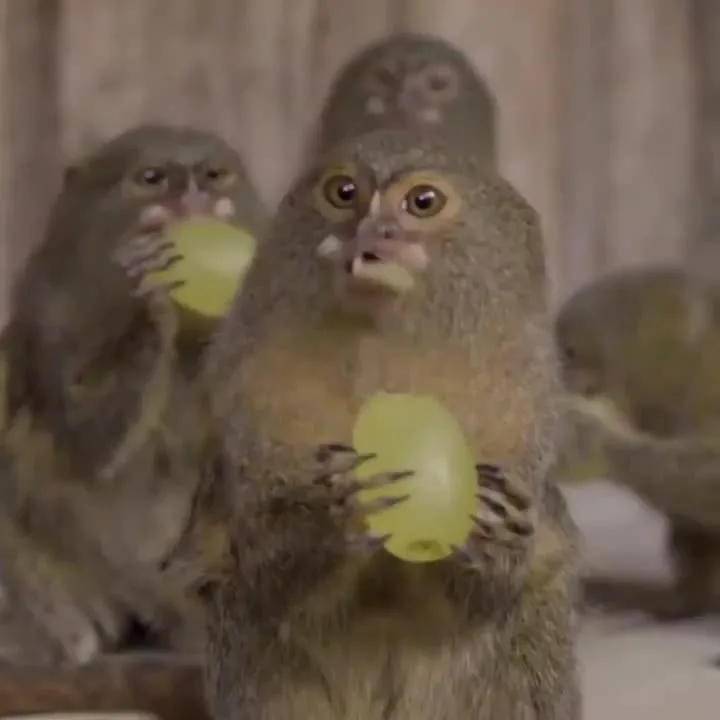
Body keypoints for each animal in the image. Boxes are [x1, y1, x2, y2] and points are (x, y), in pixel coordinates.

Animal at [0, 123, 265, 665]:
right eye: (152, 179)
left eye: (213, 175)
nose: (194, 199)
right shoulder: (49, 315)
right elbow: (79, 443)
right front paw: (150, 299)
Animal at [164, 128, 582, 719]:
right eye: (343, 193)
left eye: (422, 203)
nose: (369, 232)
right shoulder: (252, 394)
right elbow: (263, 575)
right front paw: (332, 515)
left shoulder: (520, 405)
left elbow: (498, 594)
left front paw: (490, 541)